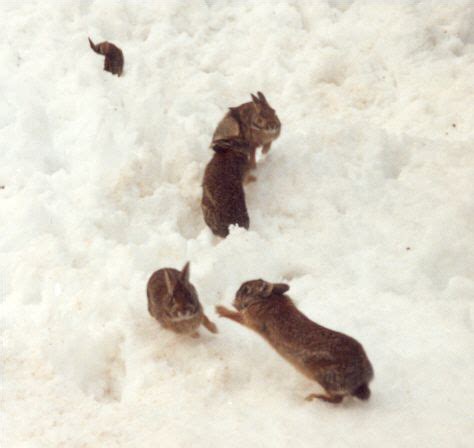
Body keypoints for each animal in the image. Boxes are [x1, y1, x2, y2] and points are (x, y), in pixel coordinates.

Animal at [215, 280, 374, 402]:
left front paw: (220, 309)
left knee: (337, 400)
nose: (235, 296)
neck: (267, 300)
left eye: (246, 290)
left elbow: (236, 316)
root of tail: (362, 378)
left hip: (323, 376)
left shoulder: (250, 320)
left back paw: (313, 398)